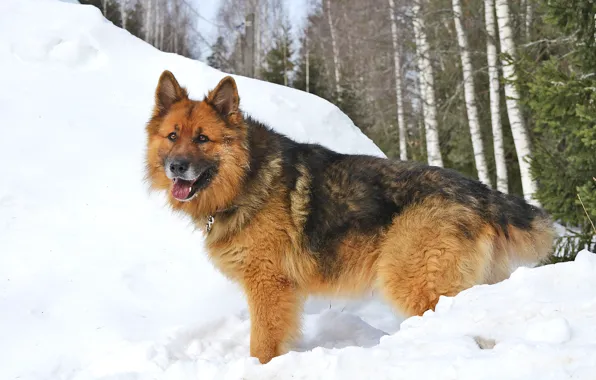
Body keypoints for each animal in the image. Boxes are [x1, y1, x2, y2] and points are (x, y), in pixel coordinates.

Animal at [144, 71, 556, 366]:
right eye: (172, 135)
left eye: (203, 139)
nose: (176, 167)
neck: (246, 176)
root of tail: (481, 191)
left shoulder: (268, 286)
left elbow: (263, 345)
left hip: (412, 280)